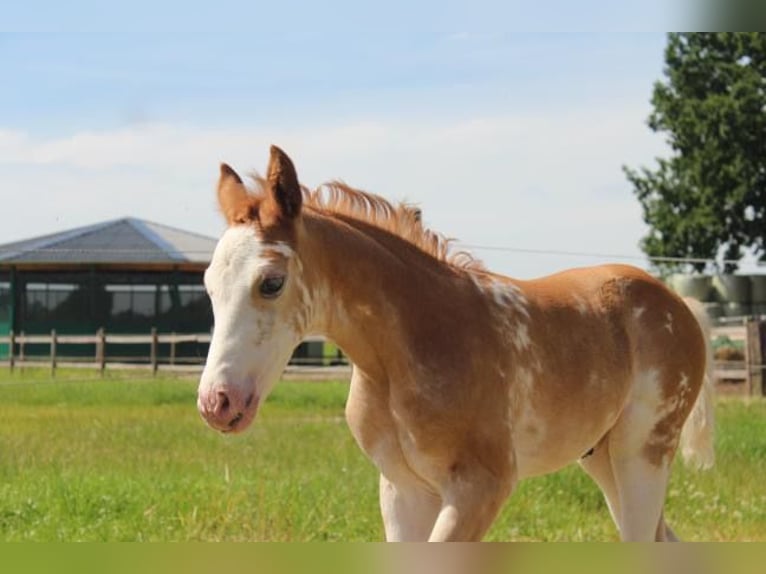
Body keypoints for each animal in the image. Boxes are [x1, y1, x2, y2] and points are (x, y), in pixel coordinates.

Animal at [196, 146, 712, 544]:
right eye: (208, 285)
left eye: (271, 282)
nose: (218, 403)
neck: (404, 351)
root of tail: (677, 303)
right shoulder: (403, 490)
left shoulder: (480, 488)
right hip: (601, 458)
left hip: (642, 452)